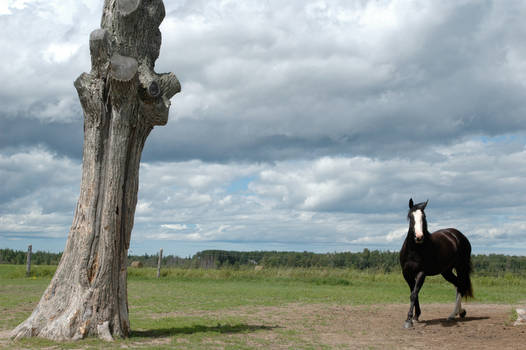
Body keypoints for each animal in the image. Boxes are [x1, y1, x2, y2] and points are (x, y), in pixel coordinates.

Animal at [400, 200, 474, 328]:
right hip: (446, 271)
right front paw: (416, 317)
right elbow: (414, 293)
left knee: (461, 286)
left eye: (424, 217)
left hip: (461, 267)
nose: (419, 237)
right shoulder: (407, 274)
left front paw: (409, 321)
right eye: (411, 217)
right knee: (457, 284)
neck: (414, 250)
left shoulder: (421, 273)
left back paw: (452, 315)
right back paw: (460, 312)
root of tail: (459, 236)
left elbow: (414, 294)